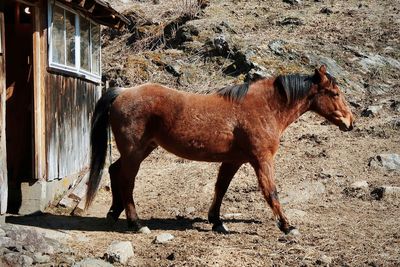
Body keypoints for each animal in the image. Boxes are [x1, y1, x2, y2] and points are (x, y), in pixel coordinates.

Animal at [86, 66, 354, 236]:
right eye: (335, 93)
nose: (350, 122)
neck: (264, 107)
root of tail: (122, 92)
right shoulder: (262, 160)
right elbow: (271, 193)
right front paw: (287, 226)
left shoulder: (234, 161)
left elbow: (220, 188)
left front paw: (216, 222)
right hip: (134, 152)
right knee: (127, 181)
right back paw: (136, 223)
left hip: (142, 150)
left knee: (114, 171)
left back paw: (114, 212)